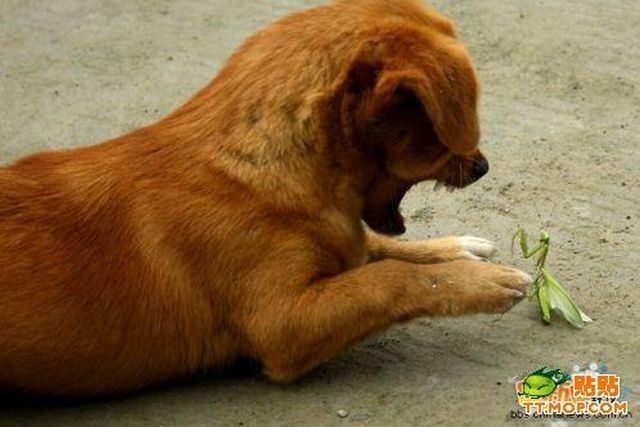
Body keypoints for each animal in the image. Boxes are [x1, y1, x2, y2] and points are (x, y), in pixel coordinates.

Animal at [0, 0, 528, 398]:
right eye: (439, 135)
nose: (482, 167)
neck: (260, 170)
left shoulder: (342, 243)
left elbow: (379, 250)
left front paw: (456, 251)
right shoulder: (283, 324)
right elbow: (389, 278)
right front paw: (480, 282)